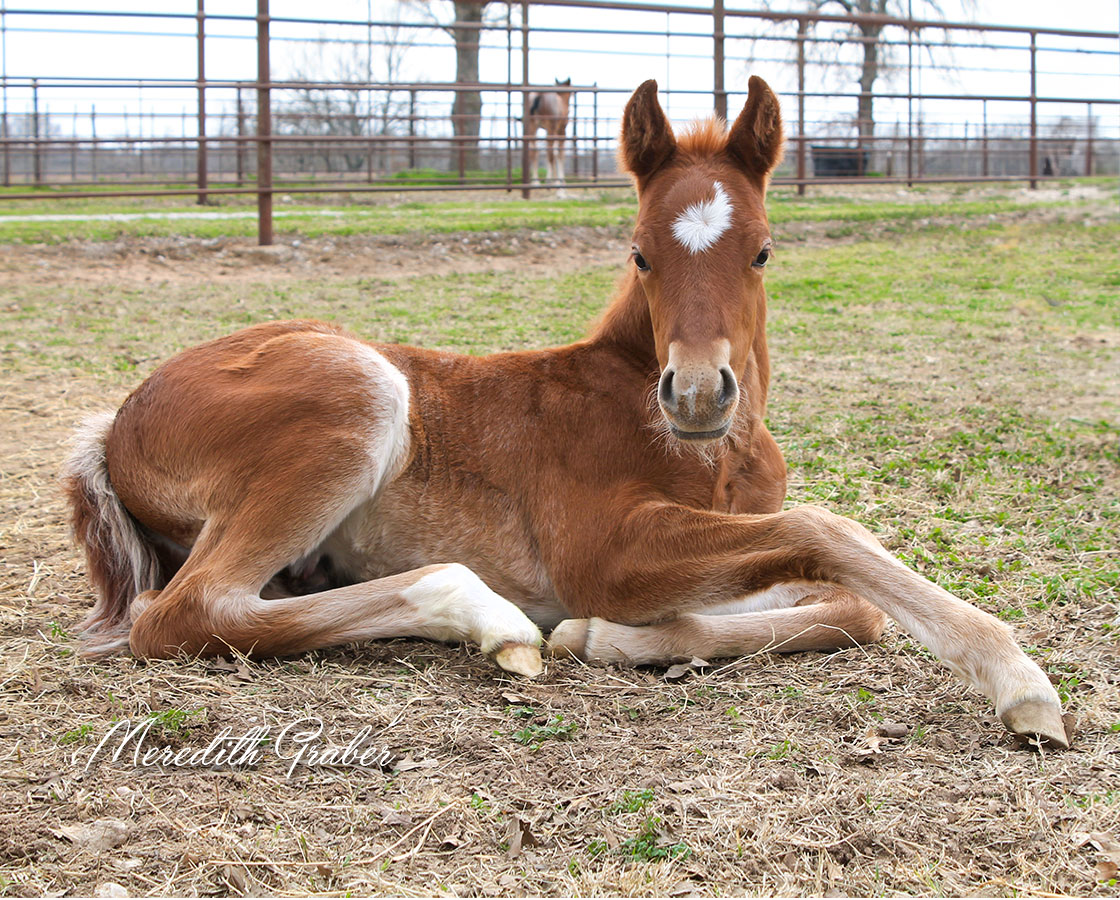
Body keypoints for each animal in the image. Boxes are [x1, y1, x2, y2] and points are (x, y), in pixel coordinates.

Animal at [63, 80, 1066, 747]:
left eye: (763, 252)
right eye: (639, 253)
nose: (695, 392)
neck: (716, 453)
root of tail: (114, 426)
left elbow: (852, 607)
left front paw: (617, 637)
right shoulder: (602, 550)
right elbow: (830, 532)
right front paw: (1017, 679)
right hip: (356, 391)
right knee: (182, 612)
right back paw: (489, 617)